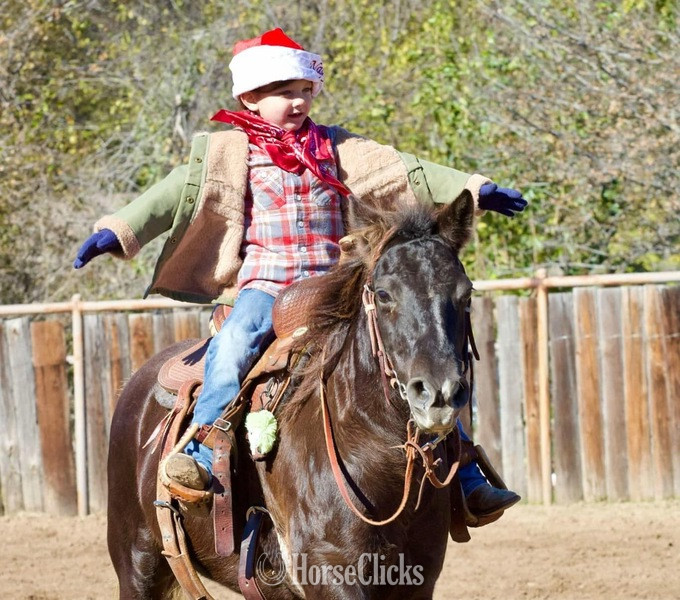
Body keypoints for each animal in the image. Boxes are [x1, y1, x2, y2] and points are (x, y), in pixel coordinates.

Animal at [107, 188, 476, 599]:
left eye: (466, 294)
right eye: (383, 294)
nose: (439, 393)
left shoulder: (418, 578)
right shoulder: (330, 572)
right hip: (137, 564)